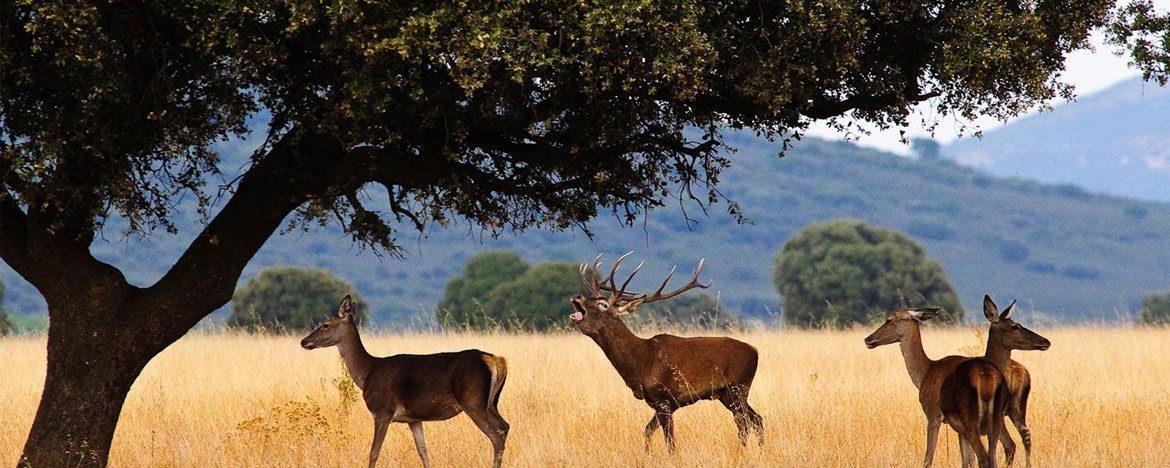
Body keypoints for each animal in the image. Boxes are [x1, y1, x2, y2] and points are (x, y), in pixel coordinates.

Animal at [299, 296, 510, 467]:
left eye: (325, 324)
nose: (304, 341)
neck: (367, 373)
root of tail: (496, 360)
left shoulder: (382, 411)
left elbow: (373, 452)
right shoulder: (413, 419)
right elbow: (423, 451)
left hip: (472, 400)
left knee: (496, 436)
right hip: (491, 403)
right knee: (505, 427)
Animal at [568, 252, 767, 453]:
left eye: (603, 304)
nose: (577, 296)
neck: (641, 365)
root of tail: (755, 352)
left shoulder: (665, 398)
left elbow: (670, 442)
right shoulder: (657, 402)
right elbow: (647, 431)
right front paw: (646, 454)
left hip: (738, 386)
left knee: (744, 423)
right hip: (725, 393)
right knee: (756, 419)